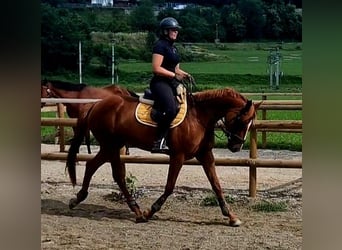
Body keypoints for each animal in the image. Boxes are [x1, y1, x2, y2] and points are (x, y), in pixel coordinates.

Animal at [65, 86, 260, 227]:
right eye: (242, 121)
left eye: (250, 123)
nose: (236, 146)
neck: (199, 116)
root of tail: (96, 104)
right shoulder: (178, 156)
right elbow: (169, 186)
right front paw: (151, 211)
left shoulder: (205, 155)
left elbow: (217, 185)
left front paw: (232, 217)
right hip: (110, 146)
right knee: (110, 173)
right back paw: (137, 212)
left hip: (112, 146)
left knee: (101, 169)